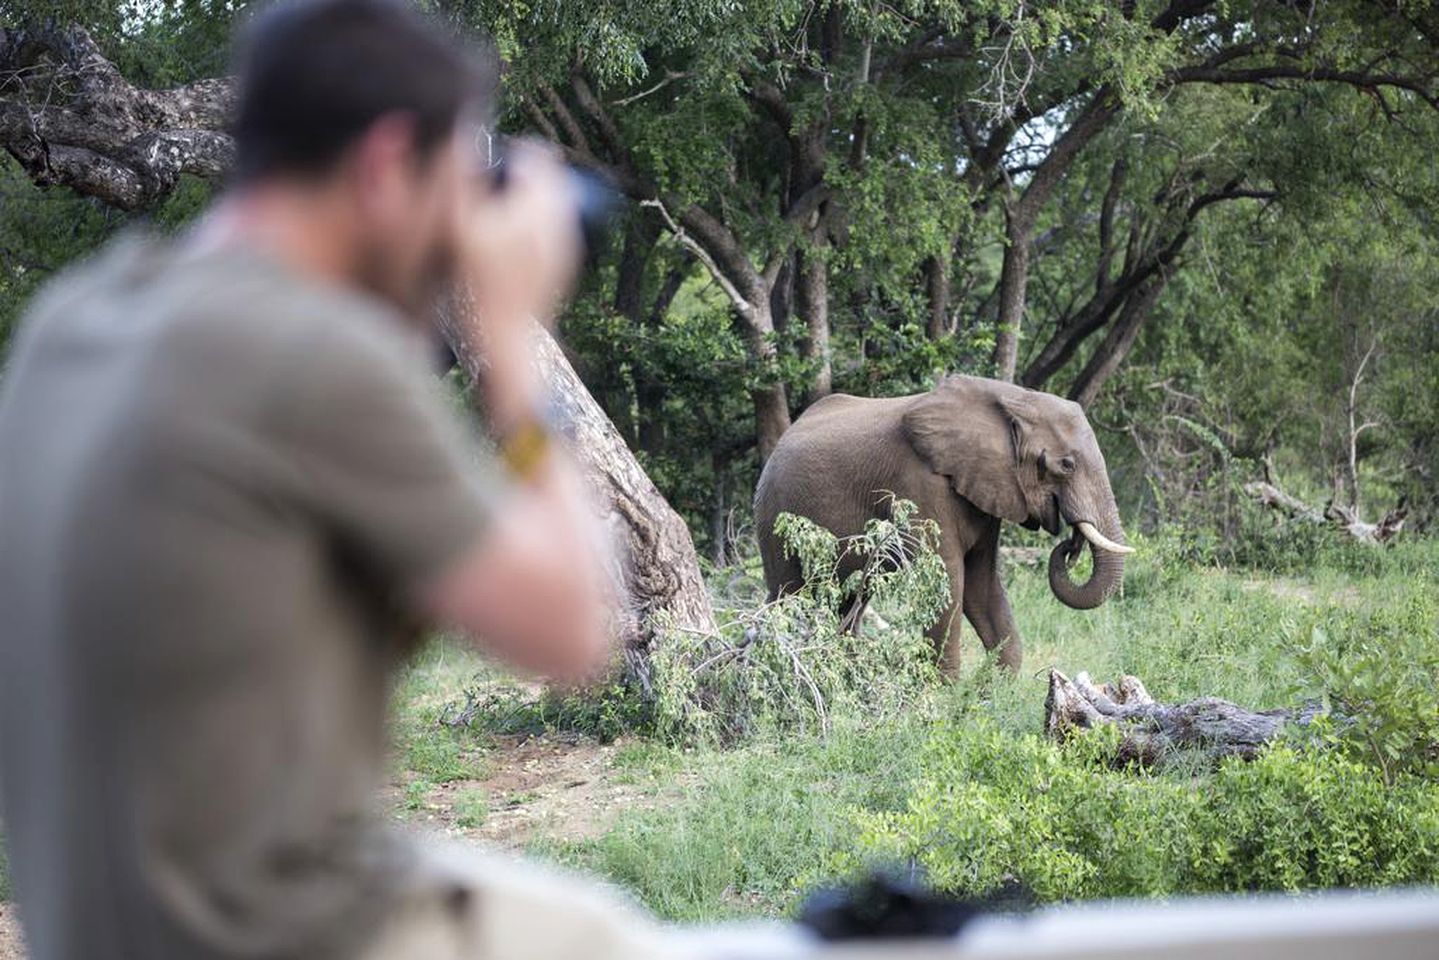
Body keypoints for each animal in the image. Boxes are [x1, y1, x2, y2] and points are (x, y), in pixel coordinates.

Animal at [754, 371, 1133, 673]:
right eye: (1067, 465)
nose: (1070, 545)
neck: (1013, 400)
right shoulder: (920, 484)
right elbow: (949, 582)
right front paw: (948, 698)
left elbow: (981, 584)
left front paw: (990, 697)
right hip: (774, 520)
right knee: (789, 594)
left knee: (845, 605)